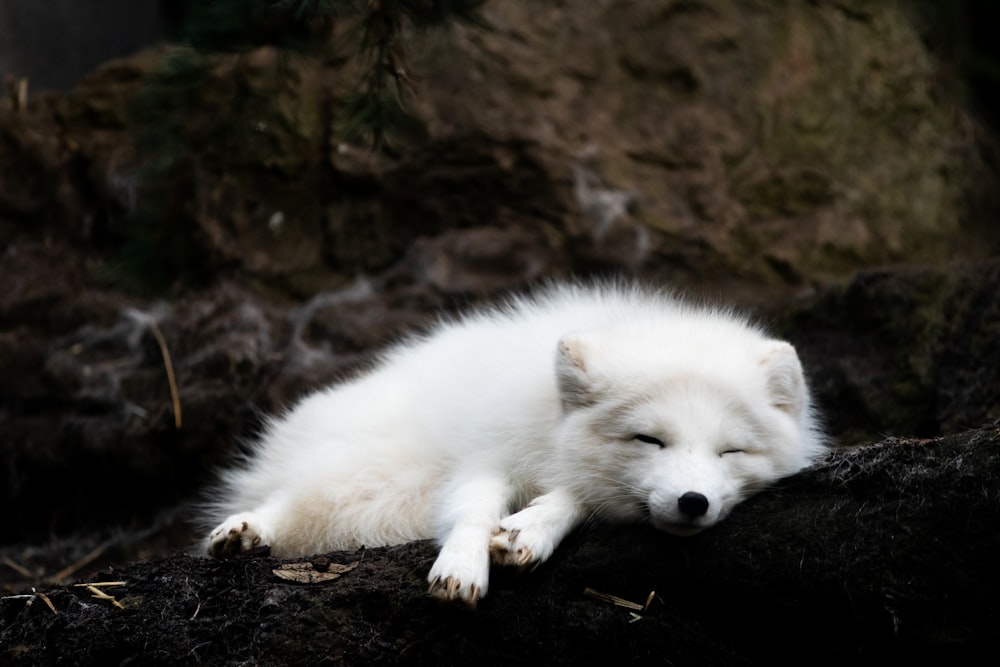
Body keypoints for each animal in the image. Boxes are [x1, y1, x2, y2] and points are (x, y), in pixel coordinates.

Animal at [203, 282, 820, 604]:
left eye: (731, 452)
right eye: (649, 439)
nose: (694, 503)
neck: (547, 417)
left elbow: (575, 499)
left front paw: (530, 529)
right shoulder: (486, 453)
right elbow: (474, 509)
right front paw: (462, 566)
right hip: (370, 471)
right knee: (293, 498)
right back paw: (245, 531)